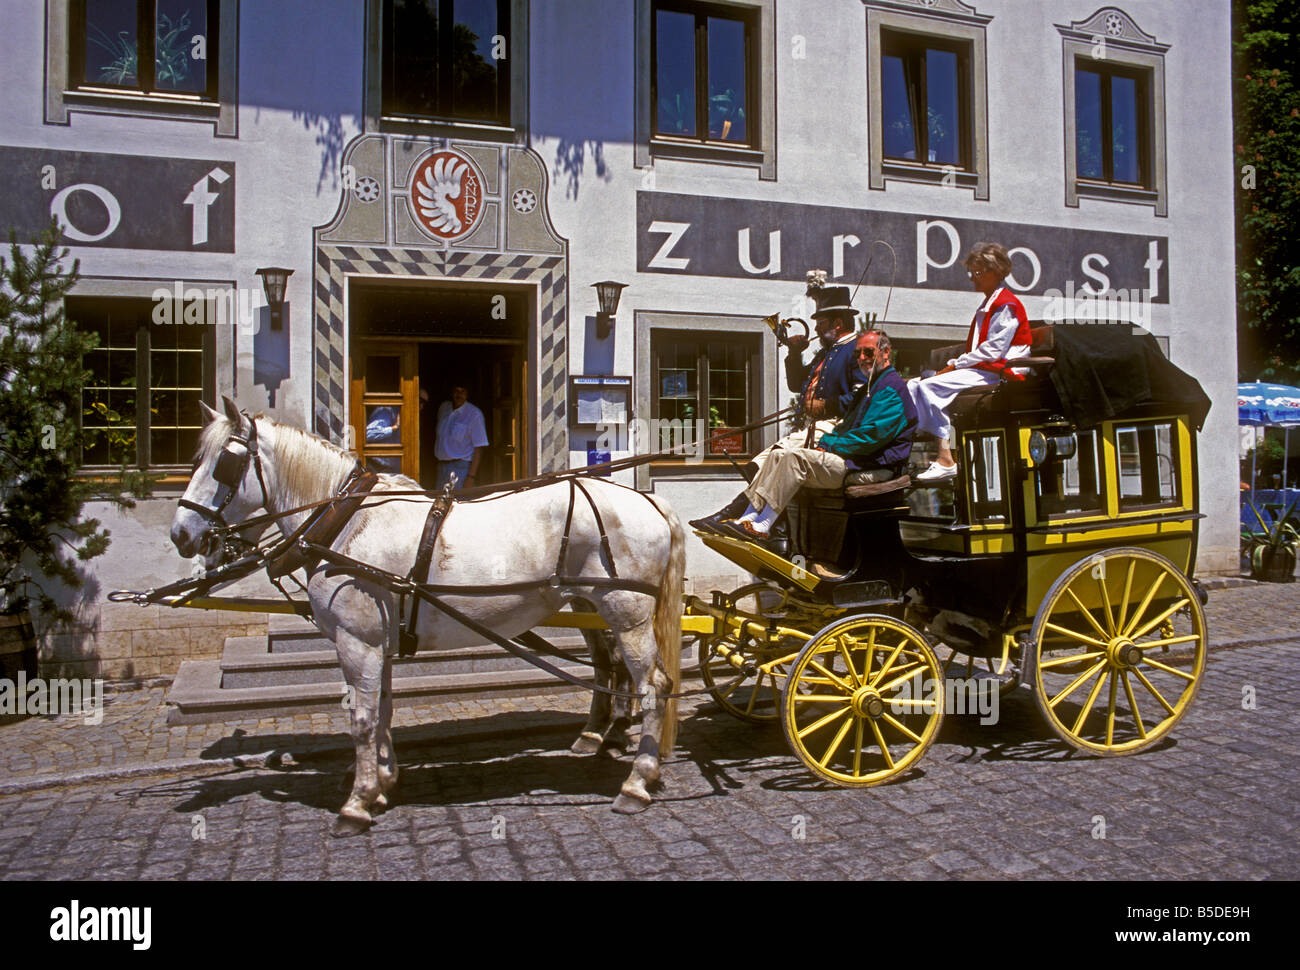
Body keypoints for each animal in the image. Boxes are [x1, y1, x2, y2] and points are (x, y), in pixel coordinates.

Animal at [172, 397, 691, 837]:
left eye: (225, 463)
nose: (181, 534)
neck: (346, 521)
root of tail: (649, 501)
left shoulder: (356, 639)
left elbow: (362, 718)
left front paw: (356, 803)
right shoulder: (376, 640)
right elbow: (382, 710)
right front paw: (382, 783)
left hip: (626, 612)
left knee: (653, 686)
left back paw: (636, 782)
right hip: (594, 606)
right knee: (616, 670)